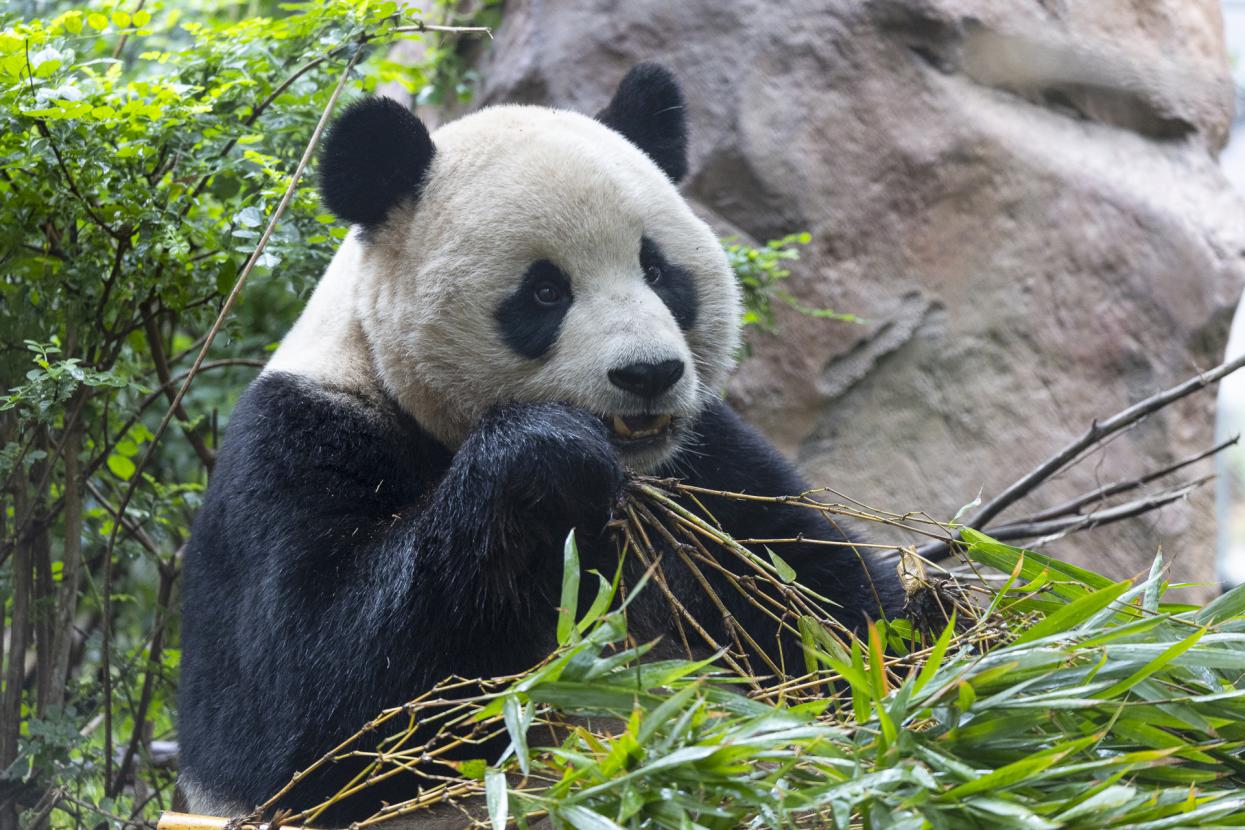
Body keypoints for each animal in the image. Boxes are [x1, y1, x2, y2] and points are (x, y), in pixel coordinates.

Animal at [178, 64, 905, 821]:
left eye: (658, 271)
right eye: (546, 292)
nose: (648, 374)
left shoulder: (709, 466)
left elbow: (831, 604)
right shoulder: (295, 444)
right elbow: (313, 718)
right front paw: (544, 460)